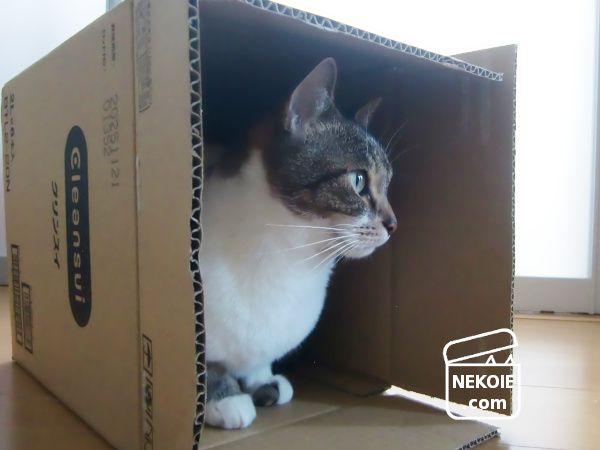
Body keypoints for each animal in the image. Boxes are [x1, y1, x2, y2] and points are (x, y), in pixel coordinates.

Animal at [200, 57, 396, 429]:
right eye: (359, 181)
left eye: (389, 185)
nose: (394, 223)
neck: (291, 262)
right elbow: (206, 365)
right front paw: (226, 397)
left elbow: (258, 357)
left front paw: (263, 381)